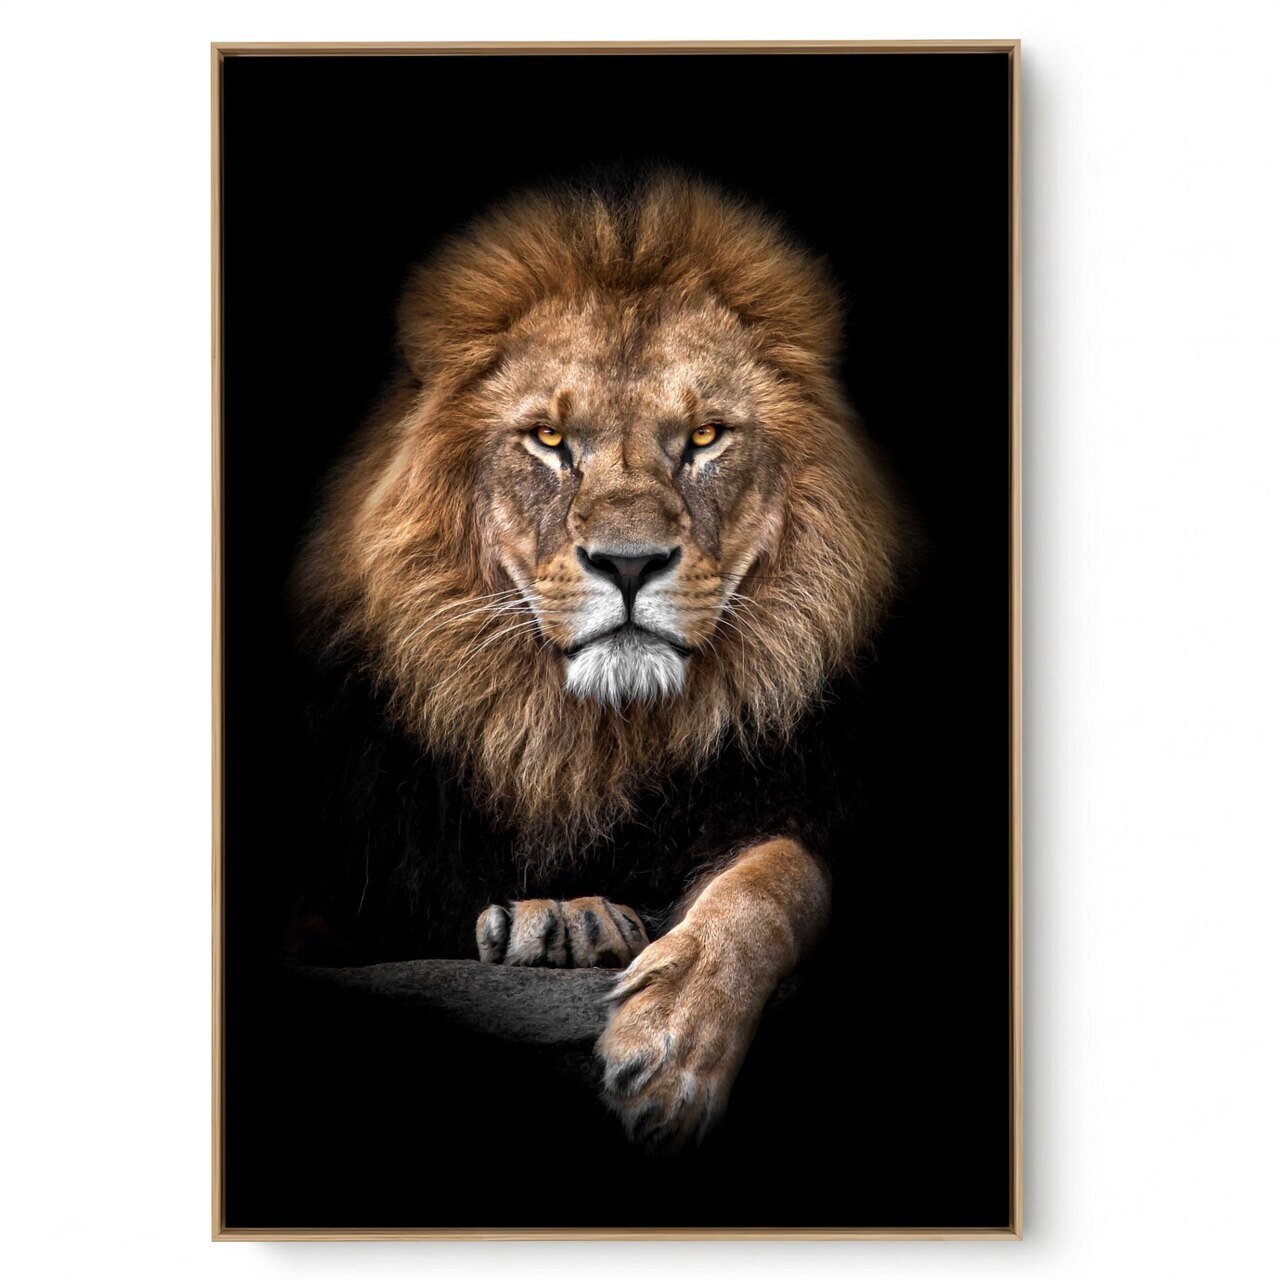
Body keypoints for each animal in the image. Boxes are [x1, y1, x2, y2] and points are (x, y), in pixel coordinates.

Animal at [292, 171, 904, 1152]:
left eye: (704, 438)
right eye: (549, 441)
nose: (627, 563)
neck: (590, 743)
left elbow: (779, 876)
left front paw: (674, 1043)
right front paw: (559, 919)